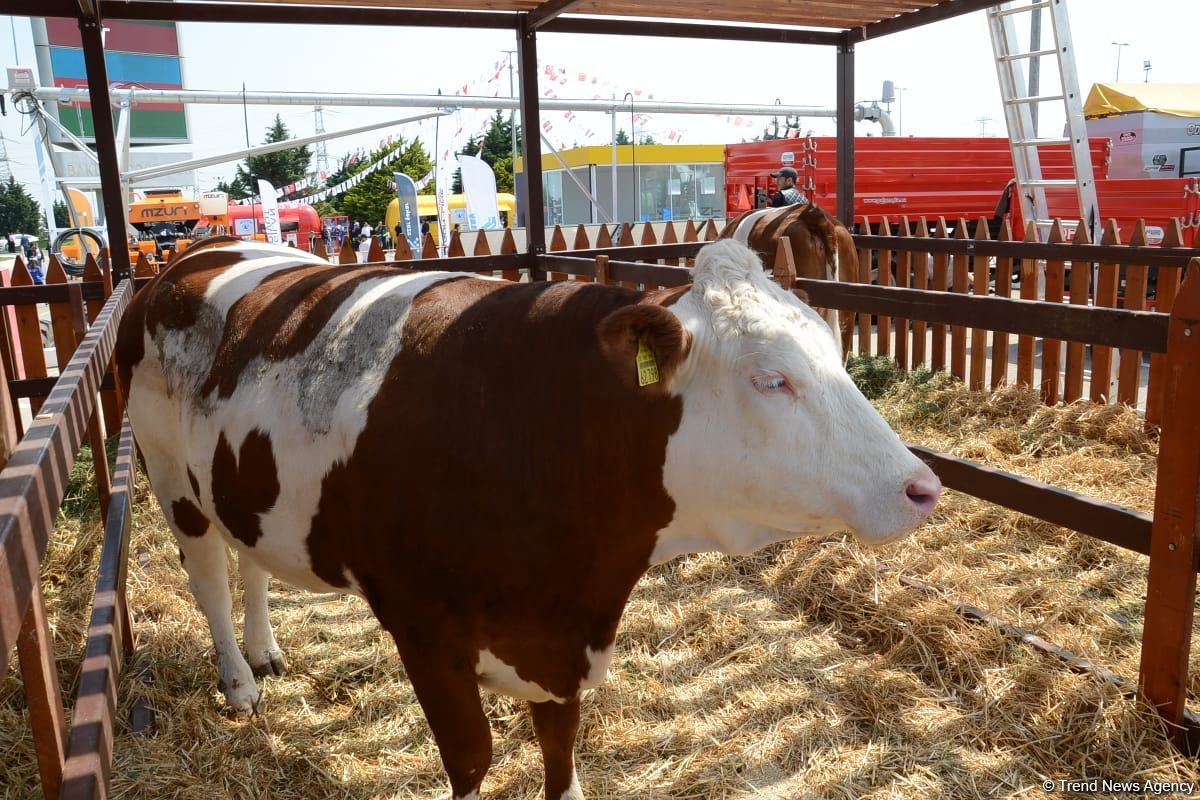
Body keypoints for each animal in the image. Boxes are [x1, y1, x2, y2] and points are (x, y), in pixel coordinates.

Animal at [114, 237, 936, 800]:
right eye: (771, 379)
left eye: (837, 348)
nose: (920, 487)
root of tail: (193, 251)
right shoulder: (424, 633)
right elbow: (473, 759)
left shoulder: (561, 639)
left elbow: (560, 750)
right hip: (171, 478)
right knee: (210, 581)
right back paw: (238, 681)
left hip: (235, 483)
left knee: (249, 561)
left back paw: (263, 653)